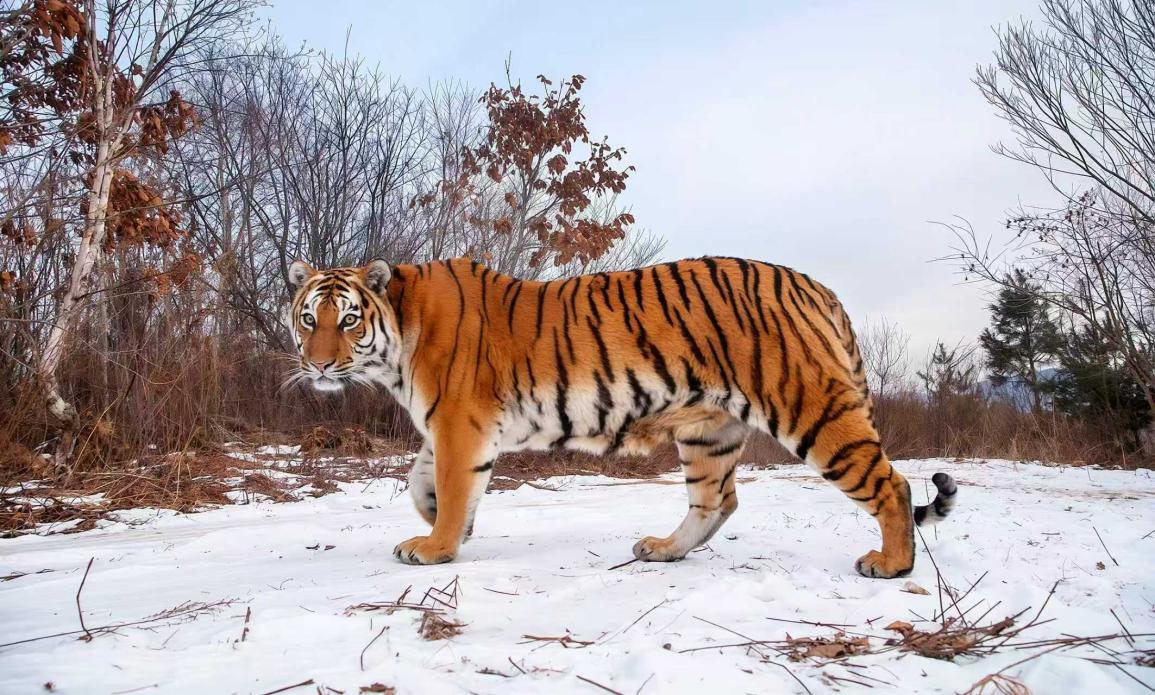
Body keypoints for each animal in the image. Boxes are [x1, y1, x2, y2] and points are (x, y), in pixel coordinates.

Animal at [286, 256, 957, 577]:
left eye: (348, 320)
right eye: (309, 318)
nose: (317, 363)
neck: (398, 339)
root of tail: (818, 288)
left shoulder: (459, 422)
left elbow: (450, 486)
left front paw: (436, 546)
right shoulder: (451, 427)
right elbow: (421, 479)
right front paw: (440, 524)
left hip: (810, 408)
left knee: (892, 484)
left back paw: (891, 565)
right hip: (709, 431)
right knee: (717, 501)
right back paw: (662, 550)